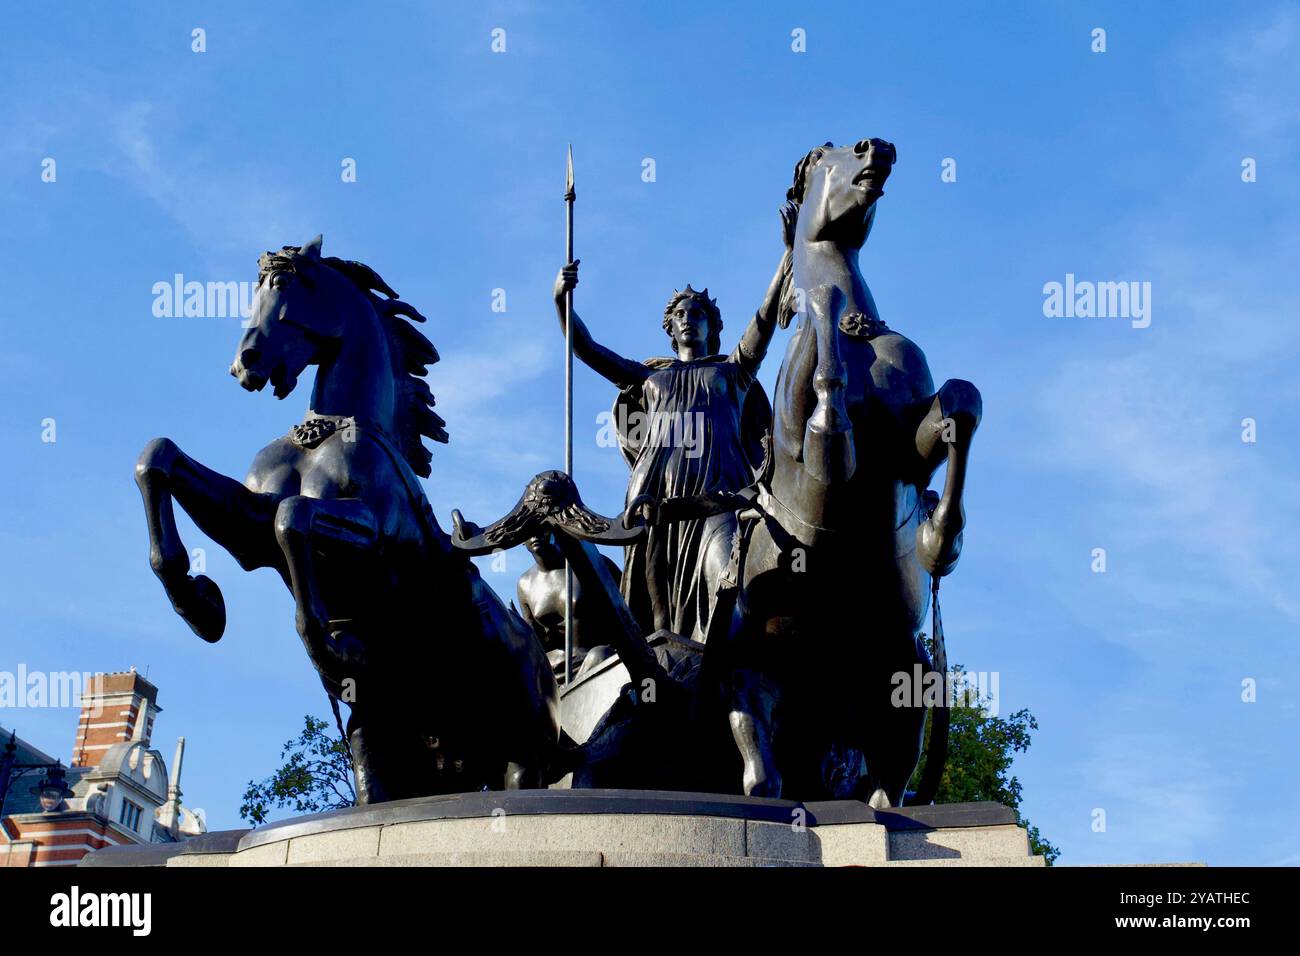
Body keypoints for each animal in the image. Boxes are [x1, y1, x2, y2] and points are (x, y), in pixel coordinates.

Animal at [137, 235, 559, 806]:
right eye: (255, 289)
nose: (245, 362)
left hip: (520, 750)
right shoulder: (249, 524)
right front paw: (199, 602)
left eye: (287, 283)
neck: (326, 433)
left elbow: (293, 517)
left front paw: (327, 644)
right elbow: (160, 457)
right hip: (399, 748)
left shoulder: (373, 533)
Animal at [717, 138, 977, 806]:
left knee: (886, 780)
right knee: (760, 762)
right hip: (751, 667)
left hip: (904, 674)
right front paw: (822, 312)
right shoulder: (816, 468)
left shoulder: (909, 445)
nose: (875, 147)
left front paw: (940, 538)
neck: (862, 339)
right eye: (819, 157)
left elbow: (959, 404)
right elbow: (829, 406)